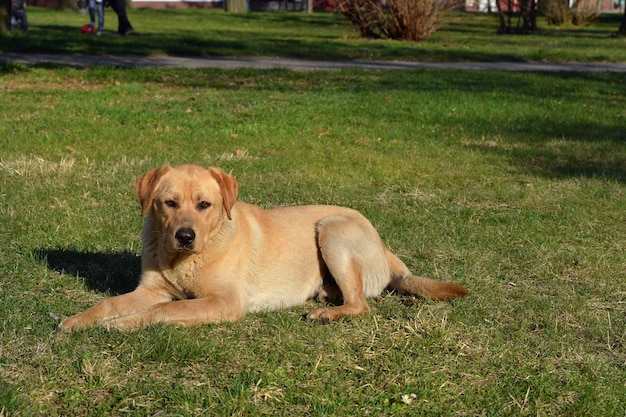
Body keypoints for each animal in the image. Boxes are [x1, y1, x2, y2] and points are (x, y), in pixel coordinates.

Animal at [59, 164, 468, 330]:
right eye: (169, 203)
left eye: (205, 204)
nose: (185, 236)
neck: (185, 259)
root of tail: (383, 245)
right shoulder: (150, 289)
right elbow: (110, 303)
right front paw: (80, 320)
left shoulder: (224, 302)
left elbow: (163, 310)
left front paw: (123, 324)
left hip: (331, 230)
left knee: (361, 305)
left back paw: (327, 312)